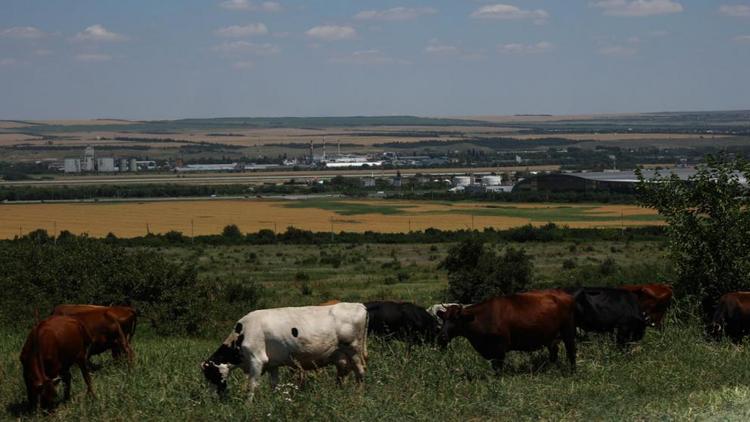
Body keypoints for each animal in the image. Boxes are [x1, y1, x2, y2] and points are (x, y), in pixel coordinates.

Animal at [203, 302, 370, 400]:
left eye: (211, 375)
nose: (212, 399)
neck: (242, 333)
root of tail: (359, 305)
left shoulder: (257, 360)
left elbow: (252, 385)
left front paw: (248, 406)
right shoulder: (272, 364)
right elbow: (273, 384)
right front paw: (273, 401)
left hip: (354, 349)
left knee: (360, 371)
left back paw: (359, 395)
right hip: (341, 355)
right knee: (343, 372)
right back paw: (339, 392)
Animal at [438, 290, 580, 372]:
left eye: (456, 319)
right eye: (443, 319)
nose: (442, 336)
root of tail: (566, 295)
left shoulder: (500, 347)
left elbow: (498, 367)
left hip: (568, 331)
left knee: (571, 351)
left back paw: (572, 371)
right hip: (551, 337)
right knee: (554, 352)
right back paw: (551, 369)